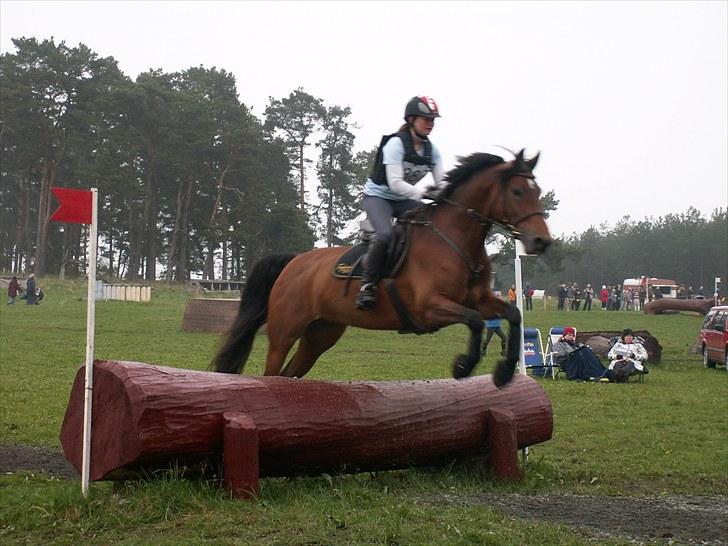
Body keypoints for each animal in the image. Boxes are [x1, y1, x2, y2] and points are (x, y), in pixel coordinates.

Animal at [210, 149, 552, 384]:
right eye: (518, 191)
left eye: (537, 191)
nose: (541, 242)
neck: (455, 239)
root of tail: (294, 261)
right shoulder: (430, 307)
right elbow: (475, 321)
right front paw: (463, 366)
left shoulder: (478, 299)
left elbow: (512, 314)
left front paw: (505, 371)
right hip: (285, 332)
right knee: (272, 371)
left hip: (320, 334)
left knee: (288, 373)